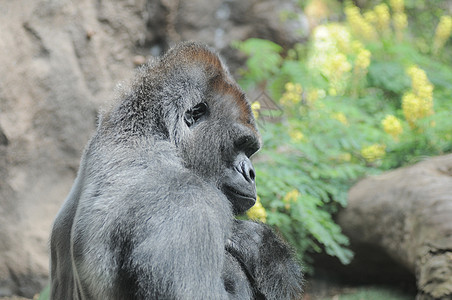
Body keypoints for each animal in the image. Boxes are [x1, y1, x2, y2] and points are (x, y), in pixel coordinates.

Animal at [50, 42, 304, 300]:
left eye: (250, 151)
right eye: (241, 144)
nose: (251, 173)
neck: (146, 135)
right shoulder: (186, 199)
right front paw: (265, 250)